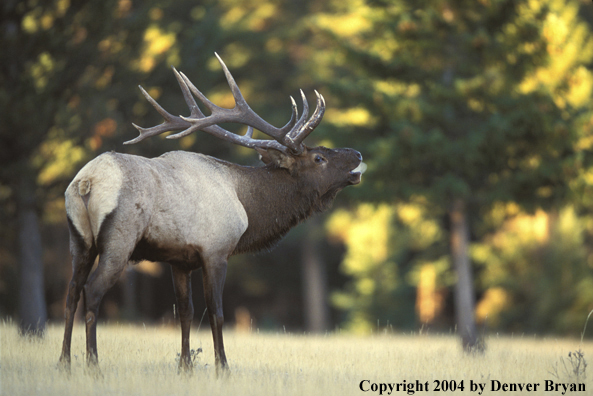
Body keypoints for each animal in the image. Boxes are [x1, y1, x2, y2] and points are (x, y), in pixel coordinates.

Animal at [59, 53, 360, 374]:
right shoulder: (216, 251)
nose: (357, 154)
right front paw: (222, 367)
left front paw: (185, 366)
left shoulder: (179, 260)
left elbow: (185, 312)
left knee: (72, 292)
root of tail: (86, 182)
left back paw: (64, 361)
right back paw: (93, 364)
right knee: (92, 291)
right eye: (319, 158)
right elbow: (216, 312)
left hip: (79, 240)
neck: (249, 208)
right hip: (120, 239)